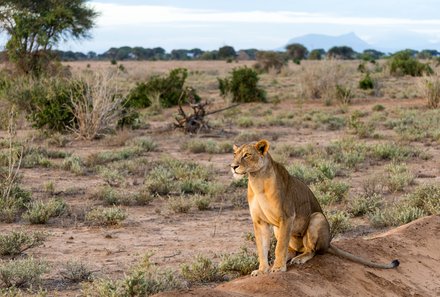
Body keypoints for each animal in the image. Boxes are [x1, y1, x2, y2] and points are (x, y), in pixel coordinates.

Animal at [230, 139, 398, 276]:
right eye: (234, 154)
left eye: (246, 155)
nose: (233, 166)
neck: (257, 180)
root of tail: (329, 243)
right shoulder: (260, 222)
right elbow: (262, 248)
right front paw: (262, 270)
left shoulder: (287, 217)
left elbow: (279, 247)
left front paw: (278, 268)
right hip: (280, 229)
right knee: (292, 249)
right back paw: (289, 257)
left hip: (316, 218)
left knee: (312, 250)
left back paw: (299, 258)